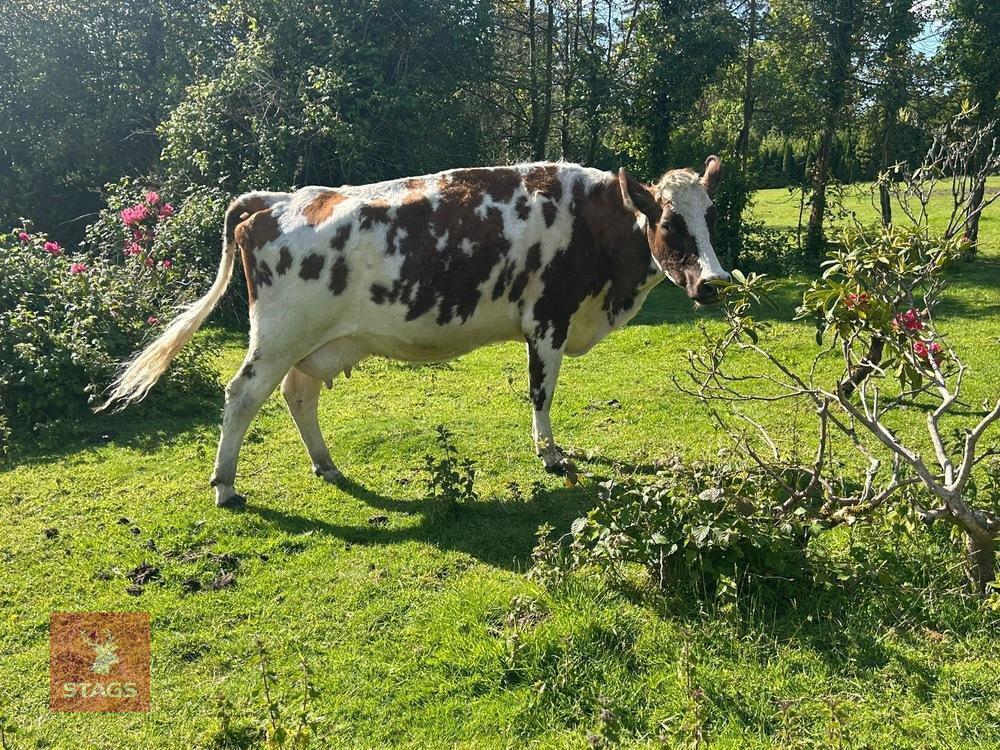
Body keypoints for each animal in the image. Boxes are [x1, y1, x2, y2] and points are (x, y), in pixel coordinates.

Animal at [102, 157, 729, 508]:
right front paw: (549, 454)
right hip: (278, 337)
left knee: (296, 395)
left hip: (313, 344)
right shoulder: (547, 319)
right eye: (670, 222)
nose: (715, 283)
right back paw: (226, 485)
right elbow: (542, 394)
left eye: (710, 216)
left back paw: (326, 464)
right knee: (241, 395)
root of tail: (282, 199)